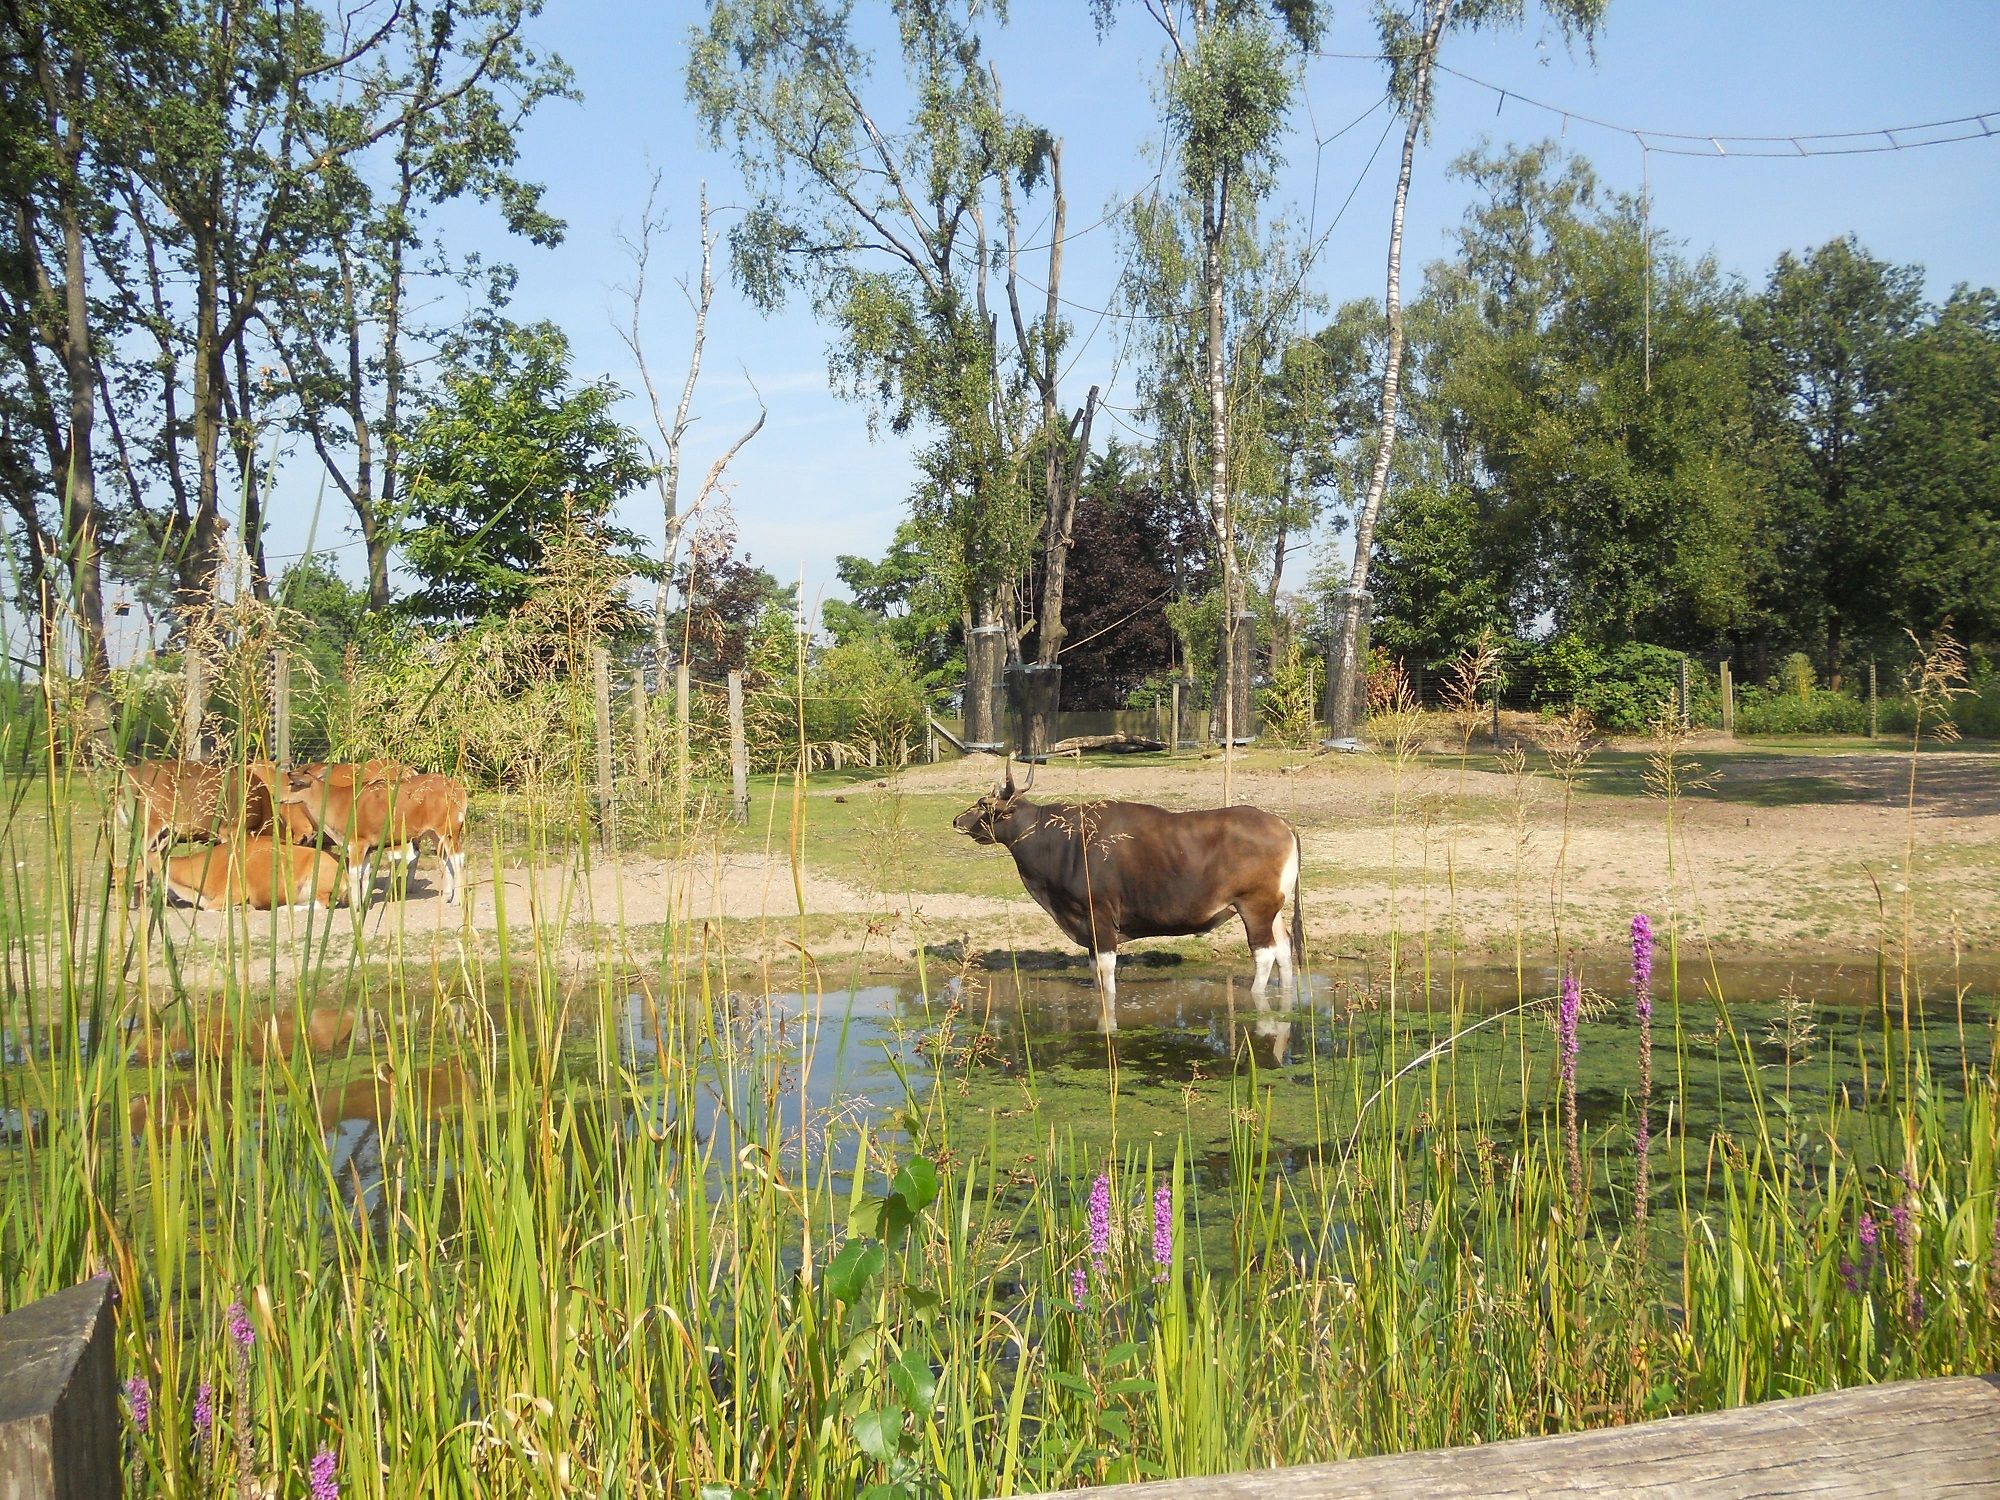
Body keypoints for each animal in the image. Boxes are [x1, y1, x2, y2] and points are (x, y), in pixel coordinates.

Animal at [956, 764, 1312, 1024]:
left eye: (983, 805)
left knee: (1265, 953)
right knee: (1284, 947)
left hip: (1254, 906)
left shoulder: (1100, 916)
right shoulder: (1089, 925)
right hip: (1274, 908)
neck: (1063, 840)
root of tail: (1283, 824)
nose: (958, 819)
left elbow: (1106, 972)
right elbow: (1094, 972)